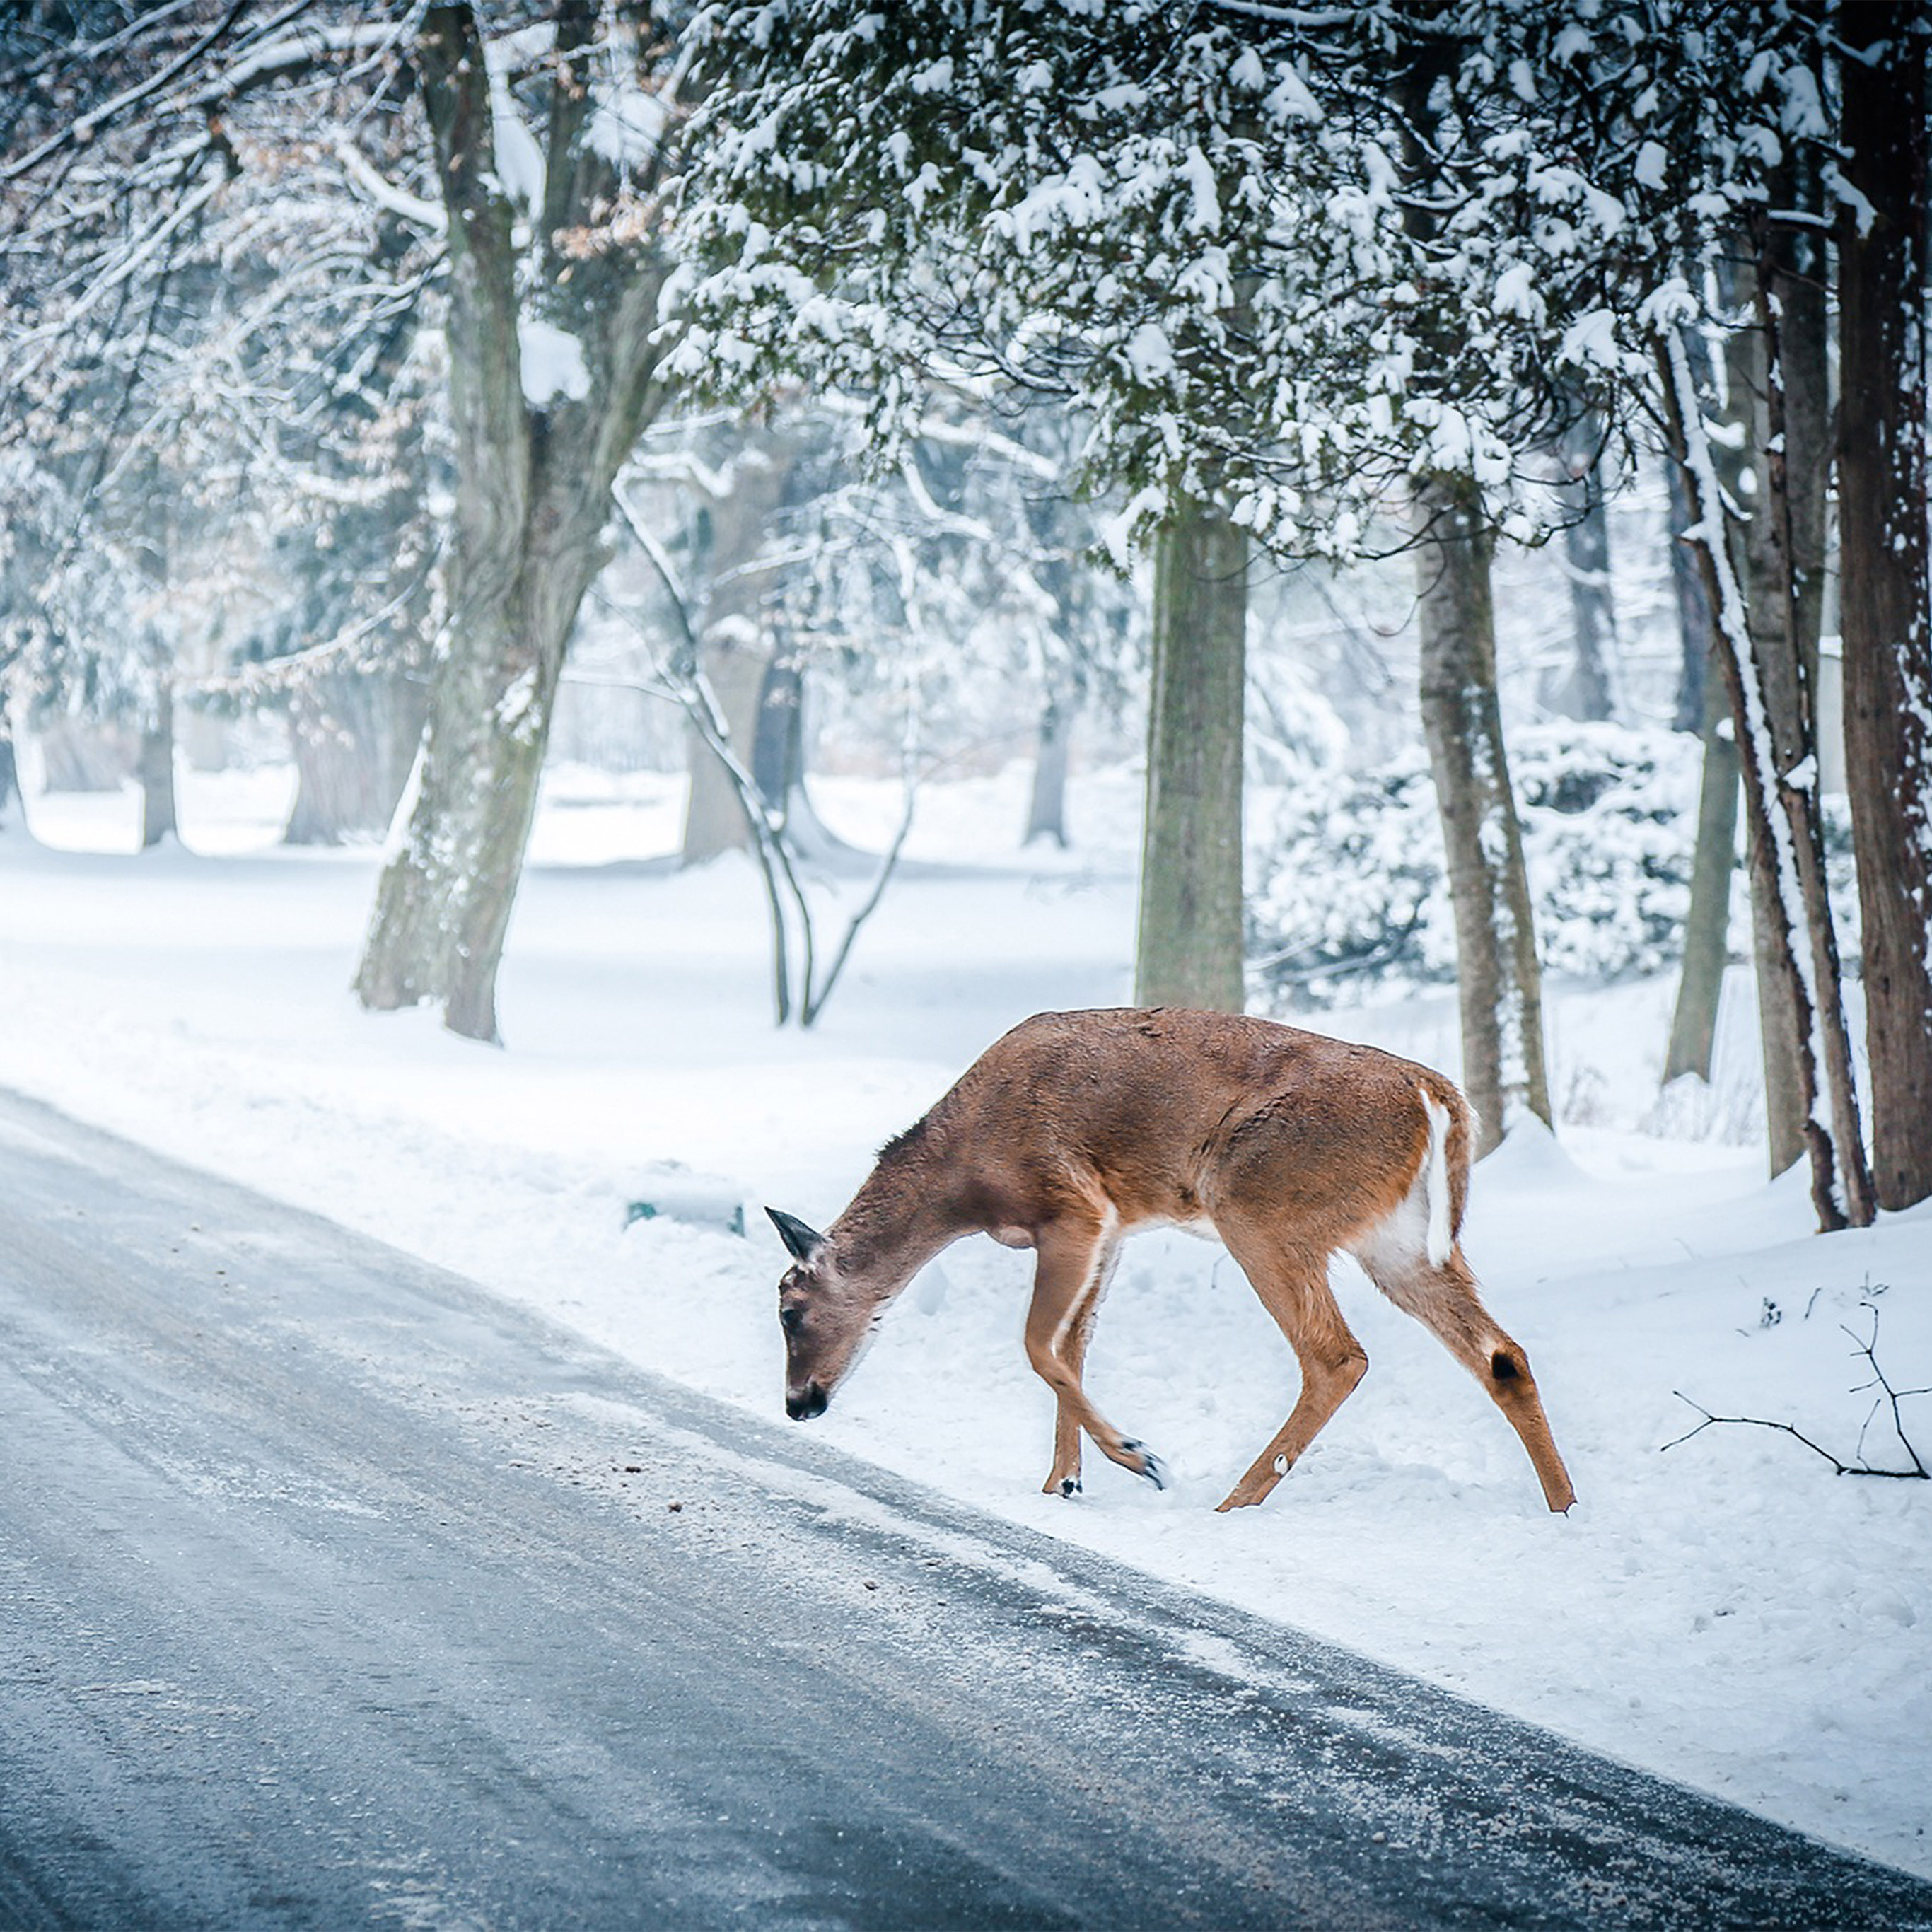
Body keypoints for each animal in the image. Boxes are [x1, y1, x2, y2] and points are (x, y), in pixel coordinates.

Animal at [766, 1008, 1575, 1515]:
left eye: (789, 1310)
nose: (798, 1403)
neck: (963, 1177)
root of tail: (1436, 1098)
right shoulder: (1115, 1228)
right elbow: (1071, 1347)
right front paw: (1063, 1483)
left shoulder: (1074, 1206)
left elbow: (1036, 1345)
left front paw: (1137, 1456)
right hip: (1397, 1240)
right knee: (1502, 1355)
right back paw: (1563, 1507)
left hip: (1258, 1203)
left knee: (1336, 1355)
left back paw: (1231, 1500)